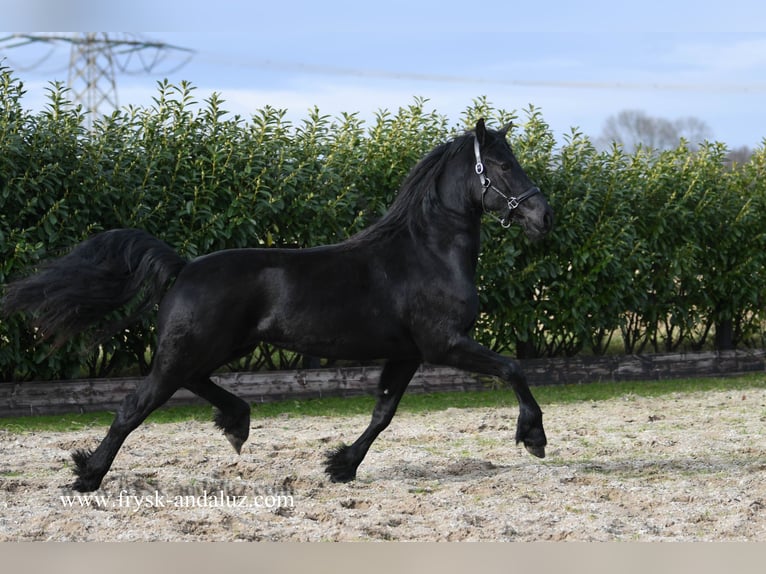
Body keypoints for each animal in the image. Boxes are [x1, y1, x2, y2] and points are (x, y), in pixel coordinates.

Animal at [1, 119, 552, 492]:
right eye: (503, 164)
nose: (543, 216)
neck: (425, 252)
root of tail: (185, 266)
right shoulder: (444, 344)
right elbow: (512, 368)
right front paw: (534, 438)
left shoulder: (407, 353)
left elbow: (383, 412)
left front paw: (341, 465)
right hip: (192, 349)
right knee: (135, 405)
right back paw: (87, 475)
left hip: (220, 347)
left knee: (192, 384)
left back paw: (236, 424)